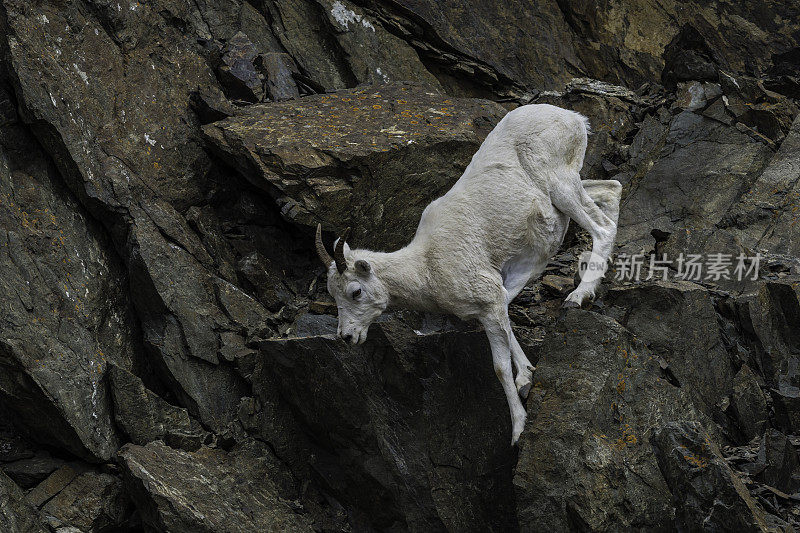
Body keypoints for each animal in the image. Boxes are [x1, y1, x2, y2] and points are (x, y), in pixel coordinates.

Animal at [316, 102, 620, 442]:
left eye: (355, 291)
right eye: (333, 294)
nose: (346, 337)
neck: (427, 266)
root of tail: (574, 119)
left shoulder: (489, 299)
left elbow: (499, 368)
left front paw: (518, 429)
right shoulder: (496, 296)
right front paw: (527, 378)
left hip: (561, 184)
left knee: (603, 227)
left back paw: (578, 297)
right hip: (573, 184)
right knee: (611, 189)